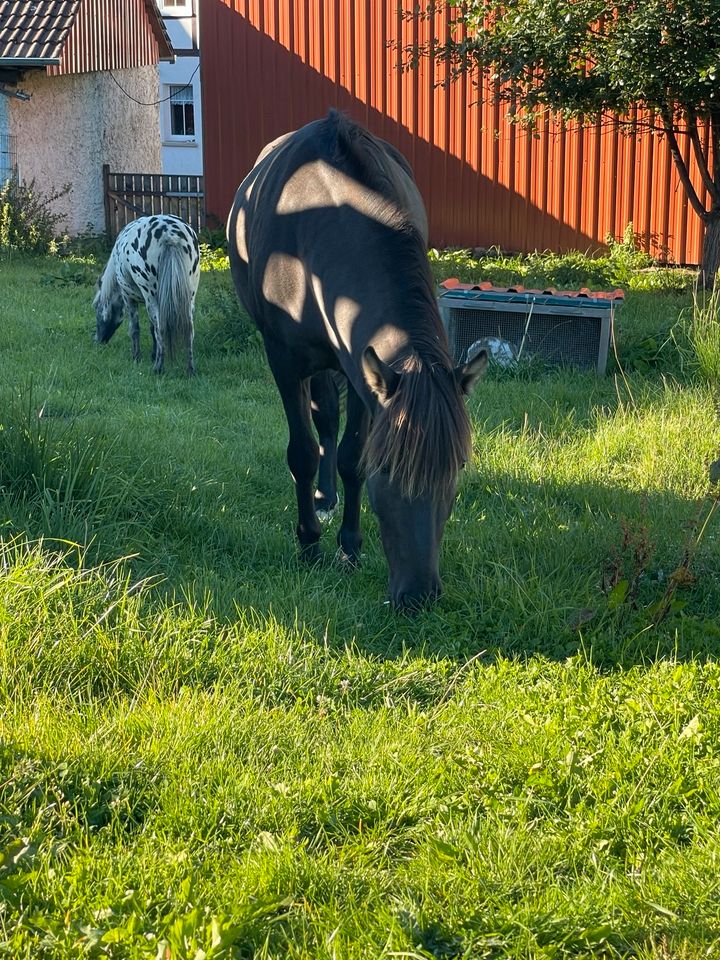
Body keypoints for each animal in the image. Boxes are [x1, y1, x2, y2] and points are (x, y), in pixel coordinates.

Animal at [228, 112, 486, 608]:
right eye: (387, 470)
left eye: (457, 467)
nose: (420, 596)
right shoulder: (286, 362)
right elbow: (302, 451)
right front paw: (309, 542)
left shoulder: (365, 377)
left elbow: (350, 456)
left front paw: (349, 548)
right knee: (321, 421)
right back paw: (320, 501)